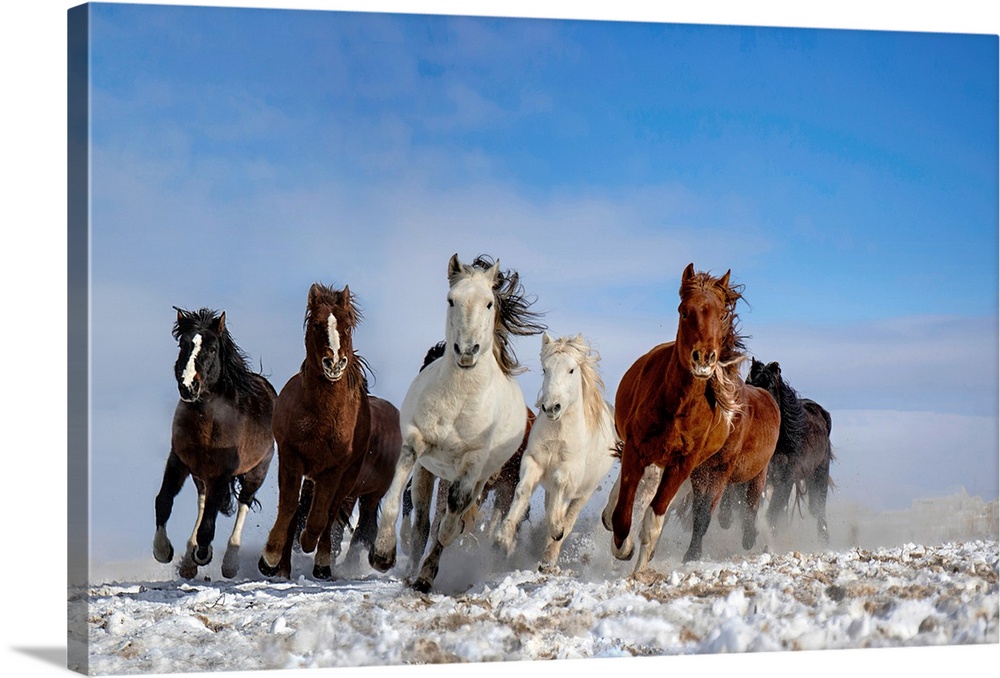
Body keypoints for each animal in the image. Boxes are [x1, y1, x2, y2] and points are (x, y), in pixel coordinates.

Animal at [152, 308, 278, 580]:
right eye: (183, 344)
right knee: (202, 501)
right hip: (200, 474)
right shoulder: (178, 461)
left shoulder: (222, 472)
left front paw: (203, 554)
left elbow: (209, 523)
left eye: (211, 349)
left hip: (256, 471)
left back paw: (229, 563)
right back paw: (188, 560)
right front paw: (163, 551)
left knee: (243, 504)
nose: (188, 387)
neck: (207, 421)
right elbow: (164, 501)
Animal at [370, 255, 548, 596]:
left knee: (450, 517)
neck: (459, 397)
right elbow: (398, 493)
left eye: (489, 302)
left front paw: (435, 561)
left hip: (482, 478)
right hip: (430, 472)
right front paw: (382, 554)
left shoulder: (473, 466)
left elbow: (453, 517)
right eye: (451, 300)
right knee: (422, 522)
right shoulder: (416, 444)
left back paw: (426, 575)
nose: (466, 351)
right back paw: (412, 571)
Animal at [492, 334, 616, 572]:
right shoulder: (533, 461)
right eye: (544, 369)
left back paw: (550, 553)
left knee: (570, 516)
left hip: (585, 492)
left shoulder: (568, 471)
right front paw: (504, 537)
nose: (551, 407)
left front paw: (556, 529)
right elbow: (523, 490)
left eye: (571, 370)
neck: (558, 433)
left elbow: (560, 488)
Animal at [600, 262, 780, 572]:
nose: (704, 358)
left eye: (722, 314)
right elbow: (624, 512)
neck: (678, 408)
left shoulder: (685, 466)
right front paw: (624, 548)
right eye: (684, 311)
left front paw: (640, 569)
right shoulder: (637, 449)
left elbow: (655, 518)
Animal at [744, 362, 836, 540]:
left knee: (818, 510)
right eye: (748, 383)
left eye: (770, 386)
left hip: (818, 475)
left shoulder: (785, 479)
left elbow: (772, 514)